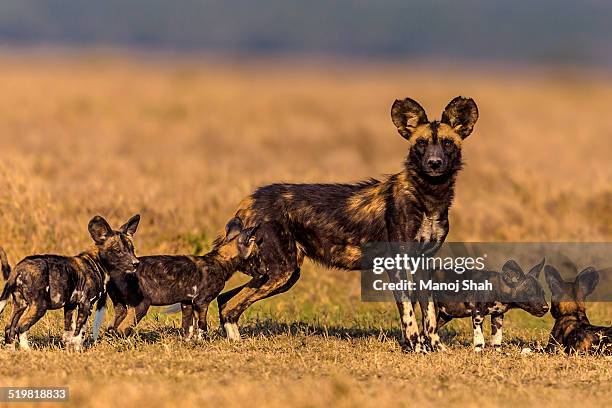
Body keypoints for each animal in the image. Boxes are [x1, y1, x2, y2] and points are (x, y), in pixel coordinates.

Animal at [99, 220, 262, 338]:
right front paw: (202, 343)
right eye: (257, 256)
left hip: (121, 308)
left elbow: (187, 329)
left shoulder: (187, 303)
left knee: (112, 328)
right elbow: (202, 327)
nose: (265, 271)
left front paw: (188, 343)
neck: (219, 262)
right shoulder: (201, 302)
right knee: (121, 330)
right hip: (141, 306)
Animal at [215, 95, 478, 350]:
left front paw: (436, 347)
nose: (434, 163)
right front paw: (416, 347)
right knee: (231, 304)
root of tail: (249, 200)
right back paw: (237, 345)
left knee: (224, 300)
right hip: (281, 271)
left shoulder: (424, 263)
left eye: (447, 143)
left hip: (281, 275)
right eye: (421, 144)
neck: (428, 197)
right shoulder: (397, 264)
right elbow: (408, 312)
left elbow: (430, 313)